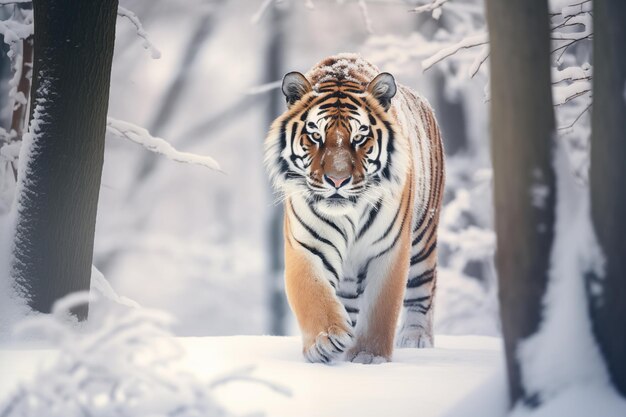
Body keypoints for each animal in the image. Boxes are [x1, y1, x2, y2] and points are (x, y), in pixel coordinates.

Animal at [264, 52, 444, 364]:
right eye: (315, 136)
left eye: (360, 137)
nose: (337, 180)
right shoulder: (307, 245)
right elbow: (313, 293)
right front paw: (326, 341)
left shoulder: (389, 249)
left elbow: (381, 308)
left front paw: (369, 356)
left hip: (423, 240)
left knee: (423, 291)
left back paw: (415, 339)